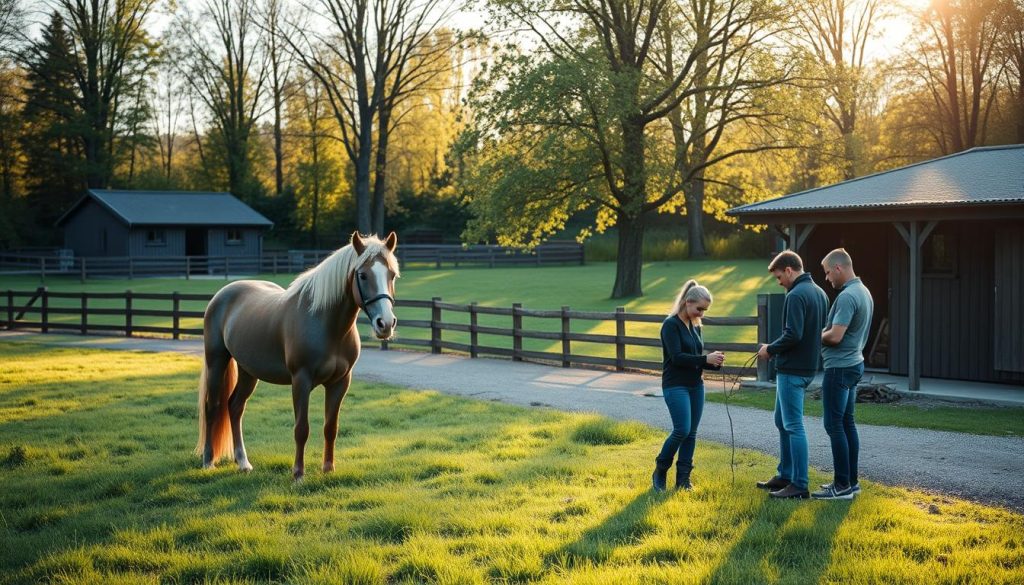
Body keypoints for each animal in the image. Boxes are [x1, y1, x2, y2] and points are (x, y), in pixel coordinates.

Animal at [195, 230, 399, 481]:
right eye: (362, 275)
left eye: (392, 275)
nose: (385, 324)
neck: (325, 324)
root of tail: (222, 294)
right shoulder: (301, 380)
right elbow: (302, 428)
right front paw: (298, 474)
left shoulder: (340, 382)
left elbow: (330, 427)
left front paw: (328, 468)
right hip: (216, 361)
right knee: (212, 407)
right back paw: (208, 461)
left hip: (248, 371)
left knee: (235, 407)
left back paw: (243, 462)